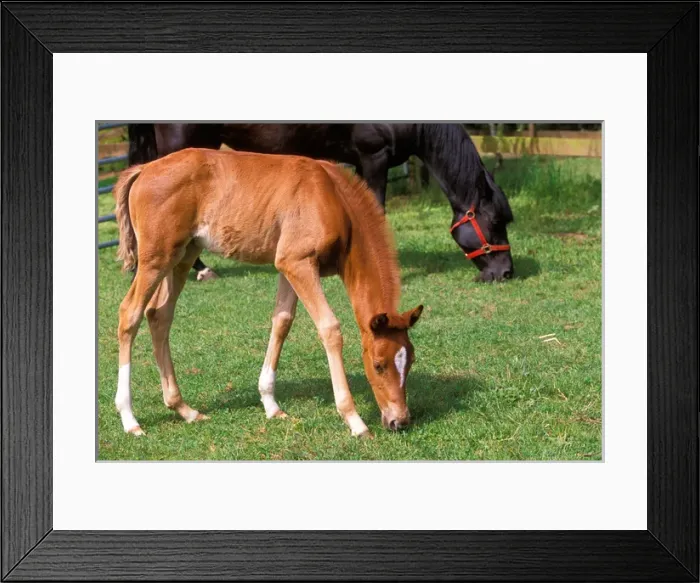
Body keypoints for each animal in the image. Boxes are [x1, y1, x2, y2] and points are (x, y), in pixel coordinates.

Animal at [112, 147, 423, 438]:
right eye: (378, 365)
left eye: (410, 360)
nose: (399, 421)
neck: (333, 198)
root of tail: (143, 170)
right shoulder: (298, 263)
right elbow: (330, 328)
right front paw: (355, 421)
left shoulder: (289, 266)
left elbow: (282, 322)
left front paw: (271, 405)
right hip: (156, 259)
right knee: (130, 314)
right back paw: (130, 419)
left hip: (183, 255)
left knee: (159, 315)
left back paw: (184, 409)